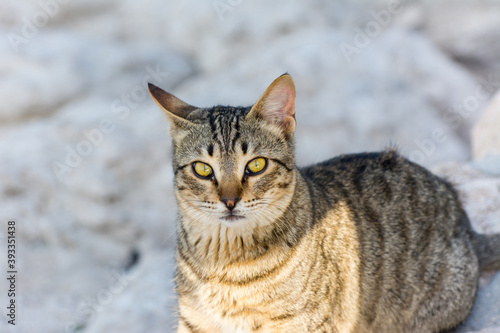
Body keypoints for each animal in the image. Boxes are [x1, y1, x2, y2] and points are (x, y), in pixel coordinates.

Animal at [147, 73, 500, 332]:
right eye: (202, 169)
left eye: (256, 165)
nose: (230, 200)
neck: (222, 262)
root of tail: (466, 227)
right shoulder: (195, 322)